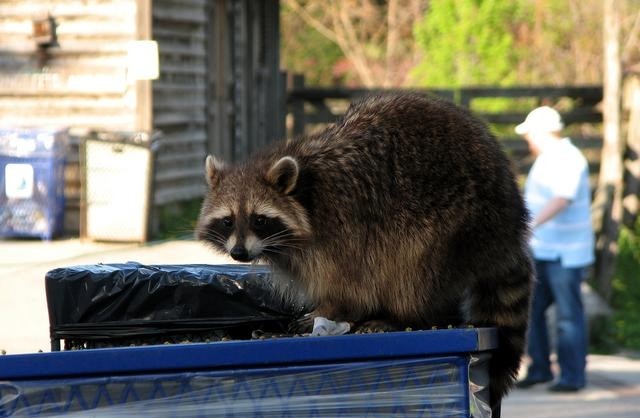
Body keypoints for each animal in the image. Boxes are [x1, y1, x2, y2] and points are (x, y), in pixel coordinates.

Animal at [196, 92, 536, 412]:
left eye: (259, 219)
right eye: (228, 221)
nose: (239, 252)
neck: (304, 191)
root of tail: (509, 229)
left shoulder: (342, 226)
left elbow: (349, 282)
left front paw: (328, 309)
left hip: (455, 220)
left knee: (413, 269)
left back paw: (401, 315)